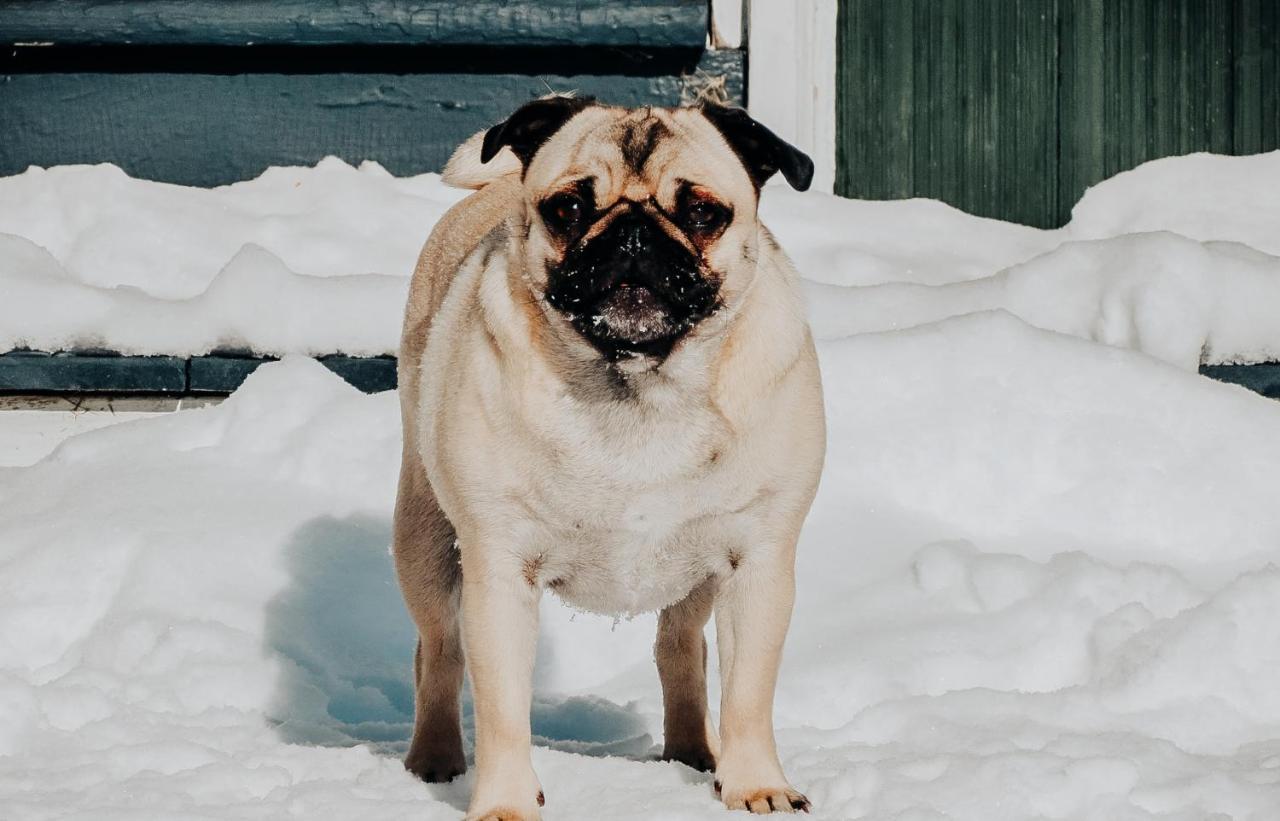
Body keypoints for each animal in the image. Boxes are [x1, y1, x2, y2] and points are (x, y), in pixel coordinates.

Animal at [394, 97, 824, 819]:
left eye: (702, 212)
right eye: (568, 208)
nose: (632, 233)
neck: (638, 384)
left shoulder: (758, 564)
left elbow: (747, 694)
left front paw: (755, 785)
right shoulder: (498, 572)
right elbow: (502, 706)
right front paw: (505, 802)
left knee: (680, 648)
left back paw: (693, 751)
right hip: (425, 538)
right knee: (441, 652)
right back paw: (435, 759)